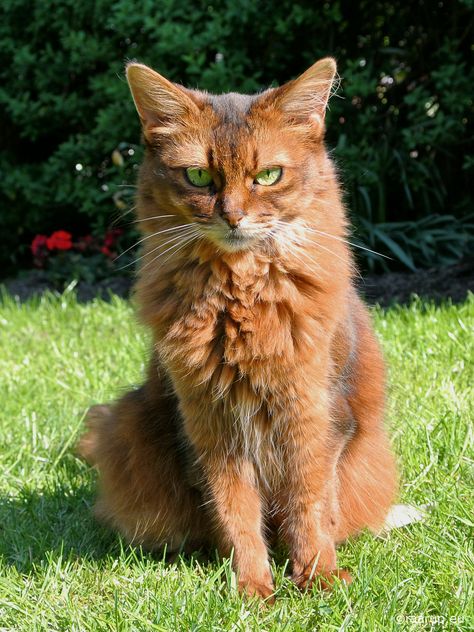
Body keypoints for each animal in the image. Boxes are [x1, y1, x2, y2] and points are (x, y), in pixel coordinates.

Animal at [79, 59, 398, 604]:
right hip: (134, 423)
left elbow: (309, 504)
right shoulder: (209, 424)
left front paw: (317, 576)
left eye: (268, 175)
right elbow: (235, 511)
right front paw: (253, 587)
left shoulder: (314, 417)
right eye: (198, 176)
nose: (232, 216)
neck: (239, 297)